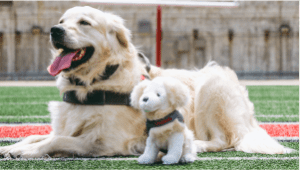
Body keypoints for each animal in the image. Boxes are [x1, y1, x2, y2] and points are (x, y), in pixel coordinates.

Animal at [0, 6, 294, 158]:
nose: (54, 30)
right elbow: (37, 134)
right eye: (62, 20)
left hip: (213, 87)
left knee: (223, 140)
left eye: (84, 23)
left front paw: (26, 152)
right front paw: (14, 146)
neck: (92, 82)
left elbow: (54, 141)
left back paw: (194, 144)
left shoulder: (105, 142)